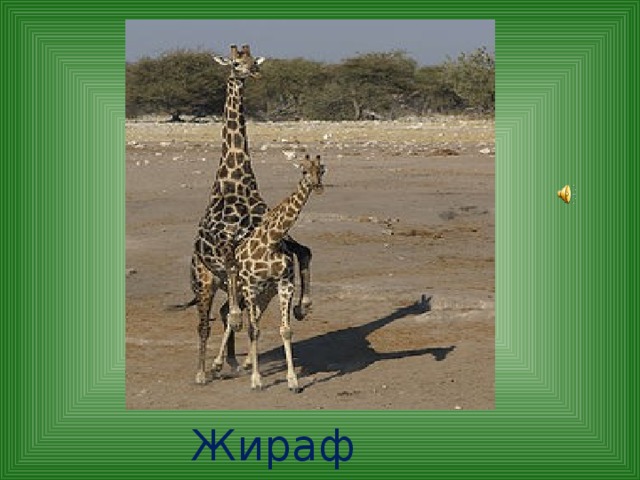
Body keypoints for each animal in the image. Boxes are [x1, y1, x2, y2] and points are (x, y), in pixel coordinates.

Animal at [179, 45, 314, 385]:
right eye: (235, 63)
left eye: (253, 60)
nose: (253, 72)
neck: (238, 183)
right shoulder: (228, 244)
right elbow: (231, 266)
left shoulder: (275, 238)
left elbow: (305, 251)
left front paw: (303, 306)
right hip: (204, 281)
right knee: (205, 323)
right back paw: (202, 372)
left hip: (240, 285)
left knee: (225, 312)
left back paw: (230, 363)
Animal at [213, 155, 326, 393]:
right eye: (303, 171)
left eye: (322, 170)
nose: (318, 186)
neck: (271, 241)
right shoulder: (250, 286)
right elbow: (252, 330)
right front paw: (256, 380)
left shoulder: (284, 285)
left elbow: (285, 330)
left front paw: (293, 381)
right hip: (241, 290)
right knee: (231, 314)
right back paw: (216, 364)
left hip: (265, 293)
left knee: (246, 314)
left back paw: (240, 362)